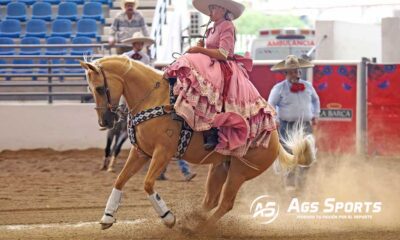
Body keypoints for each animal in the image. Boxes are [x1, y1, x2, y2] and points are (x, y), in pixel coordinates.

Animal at [79, 55, 314, 231]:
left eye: (99, 88)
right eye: (90, 89)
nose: (105, 121)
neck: (154, 99)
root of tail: (273, 138)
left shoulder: (163, 153)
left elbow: (147, 184)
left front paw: (168, 217)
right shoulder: (140, 152)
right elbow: (120, 179)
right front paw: (107, 217)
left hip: (239, 172)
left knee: (225, 204)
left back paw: (198, 228)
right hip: (220, 167)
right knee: (210, 201)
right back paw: (192, 222)